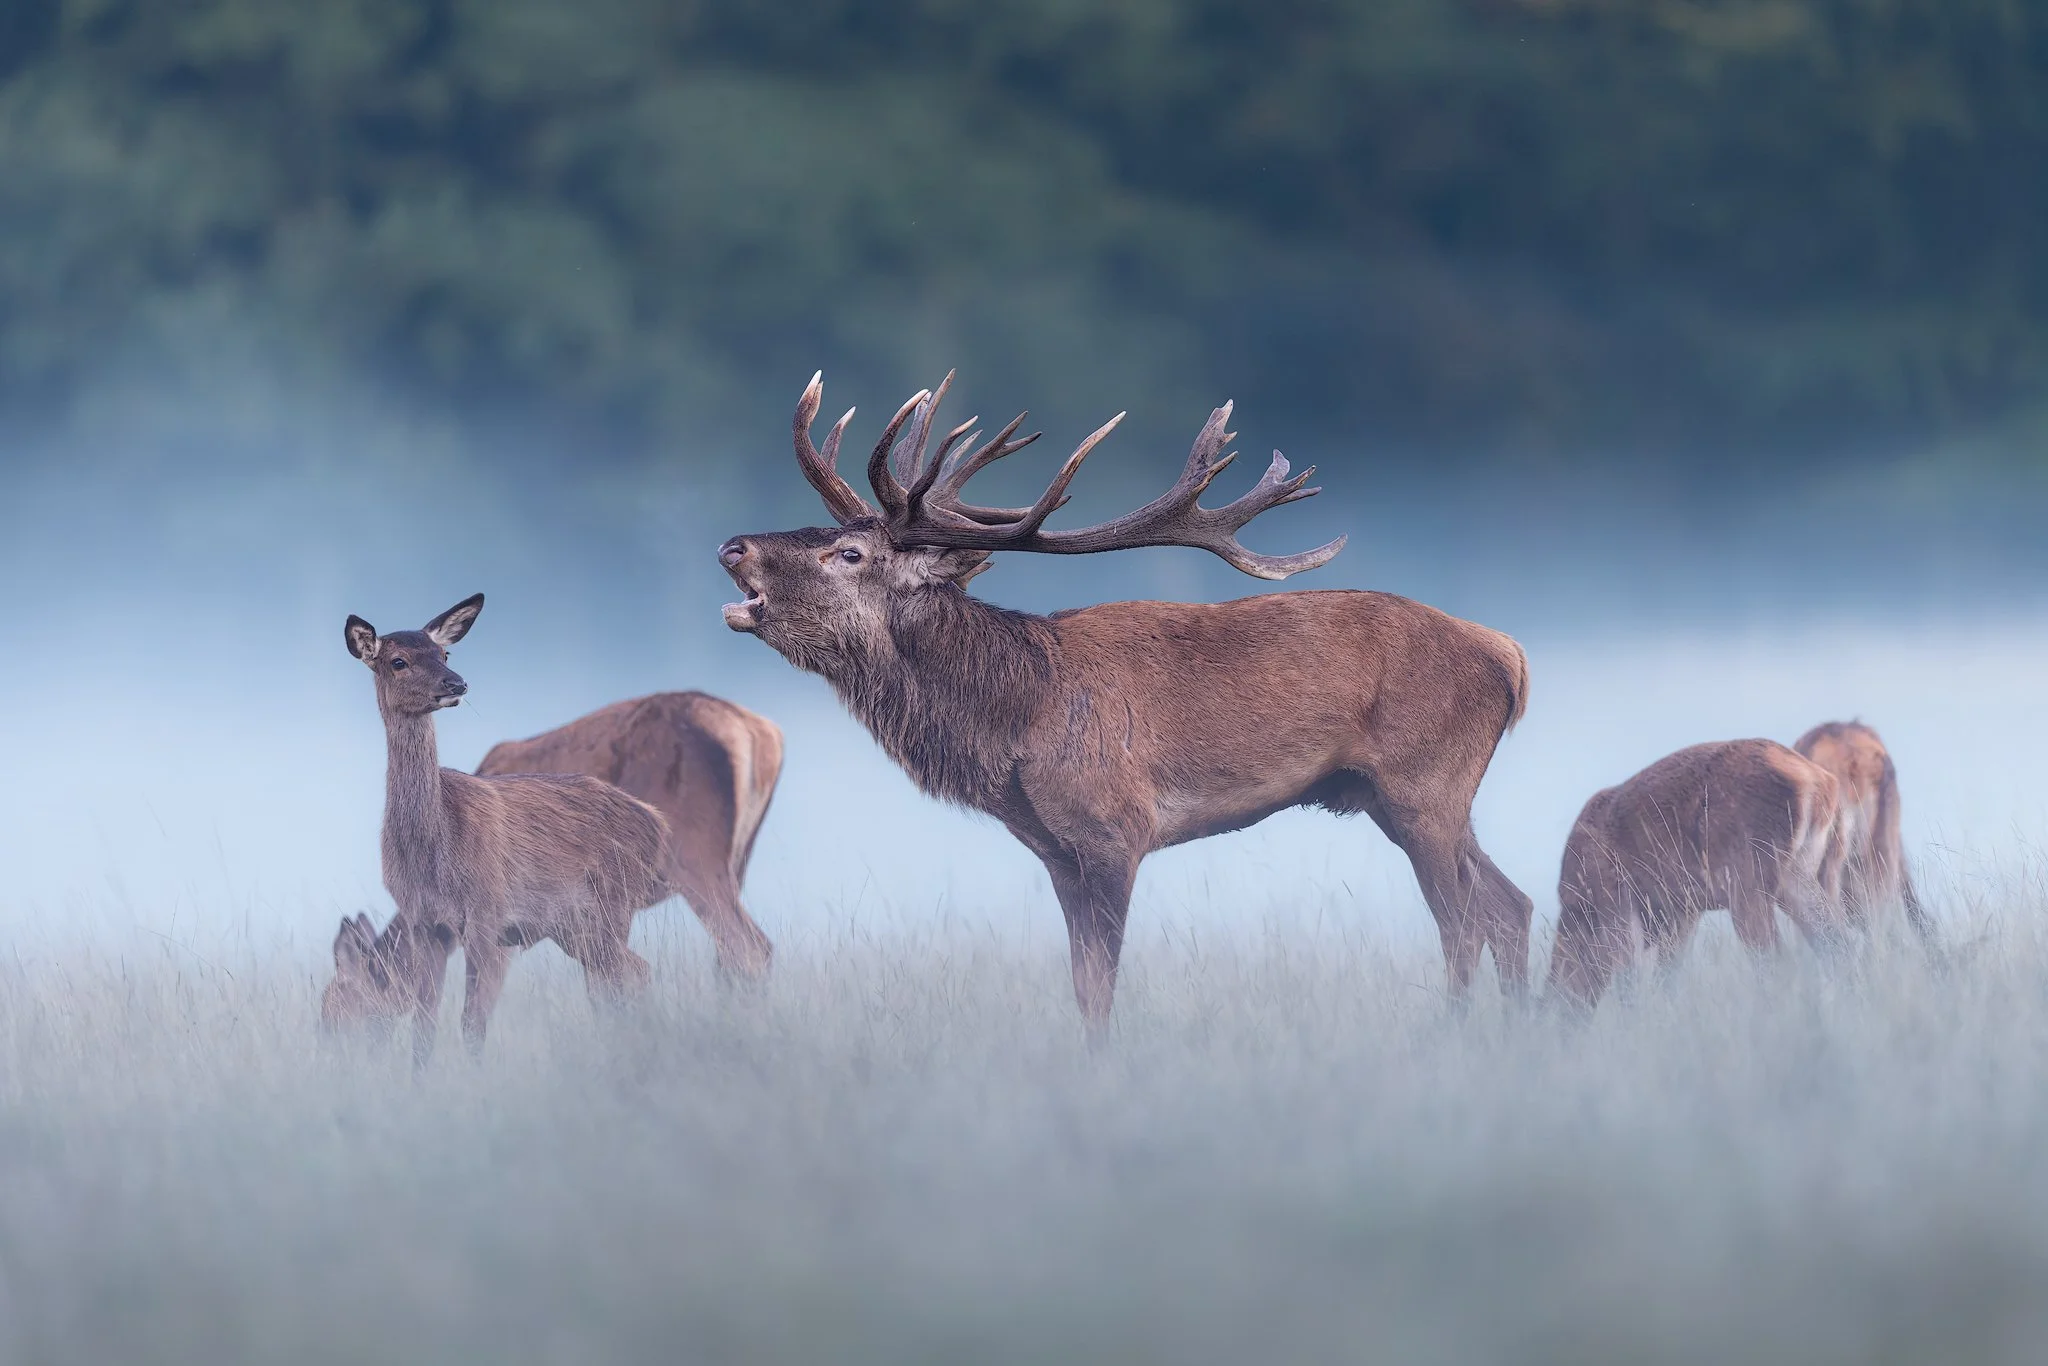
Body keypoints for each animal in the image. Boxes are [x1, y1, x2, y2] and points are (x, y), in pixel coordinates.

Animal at [322, 594, 673, 1065]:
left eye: (445, 654)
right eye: (398, 661)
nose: (457, 684)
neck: (434, 853)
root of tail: (658, 823)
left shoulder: (489, 919)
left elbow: (472, 1025)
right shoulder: (426, 924)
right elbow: (423, 1029)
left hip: (611, 904)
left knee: (627, 975)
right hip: (575, 927)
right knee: (624, 974)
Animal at [717, 371, 1533, 1029]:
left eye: (848, 553)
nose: (733, 546)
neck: (1016, 725)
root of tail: (1510, 656)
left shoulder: (1115, 830)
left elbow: (1103, 985)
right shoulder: (1054, 850)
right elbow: (1082, 986)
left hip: (1424, 784)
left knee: (1463, 926)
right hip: (1410, 798)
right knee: (1510, 908)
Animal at [1547, 739, 1850, 1011]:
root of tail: (1819, 783)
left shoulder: (1614, 901)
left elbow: (1629, 985)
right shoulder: (1684, 911)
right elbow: (1667, 979)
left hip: (1748, 878)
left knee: (1776, 958)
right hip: (1805, 872)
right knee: (1836, 944)